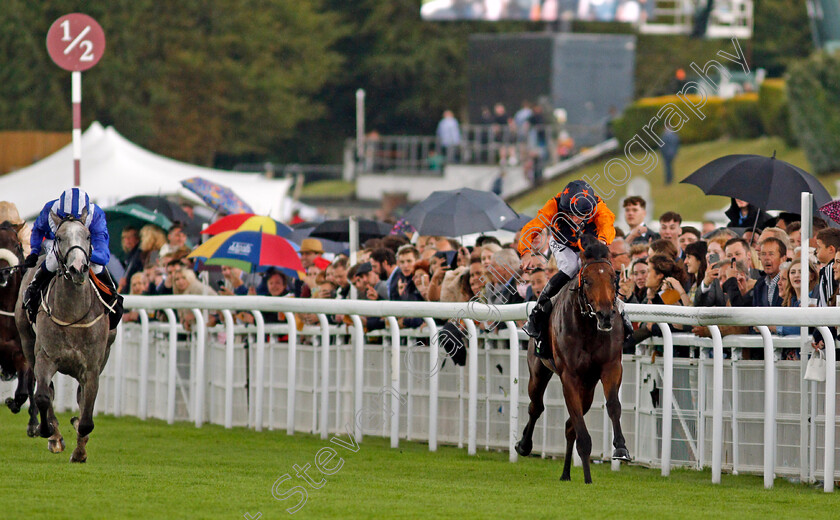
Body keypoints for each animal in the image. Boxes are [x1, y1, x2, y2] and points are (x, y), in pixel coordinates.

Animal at [14, 215, 115, 464]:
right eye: (59, 237)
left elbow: (87, 414)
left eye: (87, 236)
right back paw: (55, 436)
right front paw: (48, 431)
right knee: (46, 391)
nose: (78, 268)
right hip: (27, 342)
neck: (73, 314)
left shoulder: (91, 366)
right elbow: (43, 396)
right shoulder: (45, 357)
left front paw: (80, 449)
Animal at [512, 235, 632, 484]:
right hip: (538, 371)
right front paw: (588, 474)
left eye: (613, 278)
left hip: (588, 386)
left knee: (569, 427)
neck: (589, 327)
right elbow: (580, 429)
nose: (606, 315)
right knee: (536, 406)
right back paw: (524, 445)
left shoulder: (611, 367)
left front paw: (621, 448)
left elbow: (613, 405)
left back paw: (567, 473)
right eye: (586, 280)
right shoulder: (570, 376)